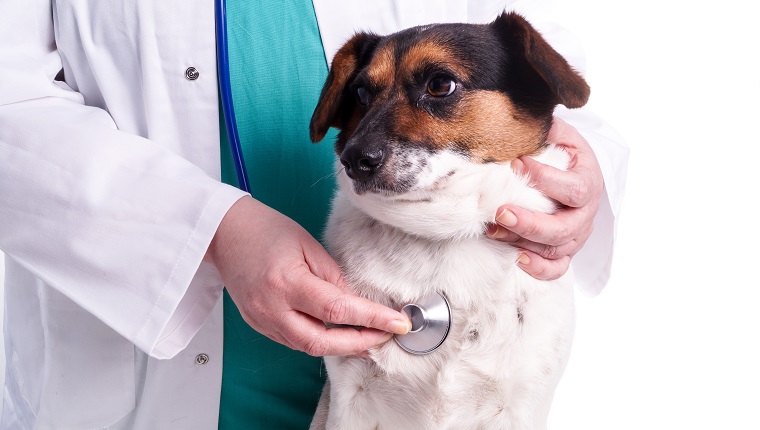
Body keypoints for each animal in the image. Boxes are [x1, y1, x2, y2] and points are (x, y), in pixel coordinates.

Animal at [308, 11, 588, 428]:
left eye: (440, 84)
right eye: (360, 93)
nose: (354, 160)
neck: (443, 233)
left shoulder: (522, 404)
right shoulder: (349, 397)